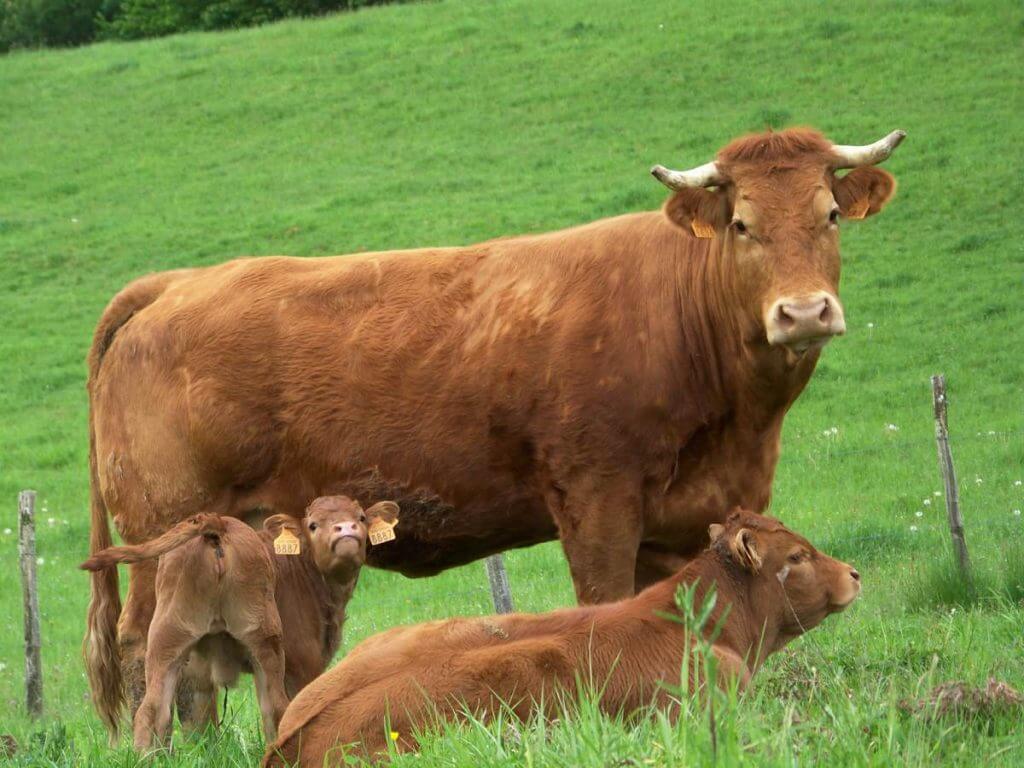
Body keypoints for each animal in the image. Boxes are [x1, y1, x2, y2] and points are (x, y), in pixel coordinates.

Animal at [80, 493, 395, 753]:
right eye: (314, 525)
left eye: (361, 518)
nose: (346, 529)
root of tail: (218, 523)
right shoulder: (302, 663)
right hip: (265, 640)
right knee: (275, 709)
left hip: (167, 638)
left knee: (152, 710)